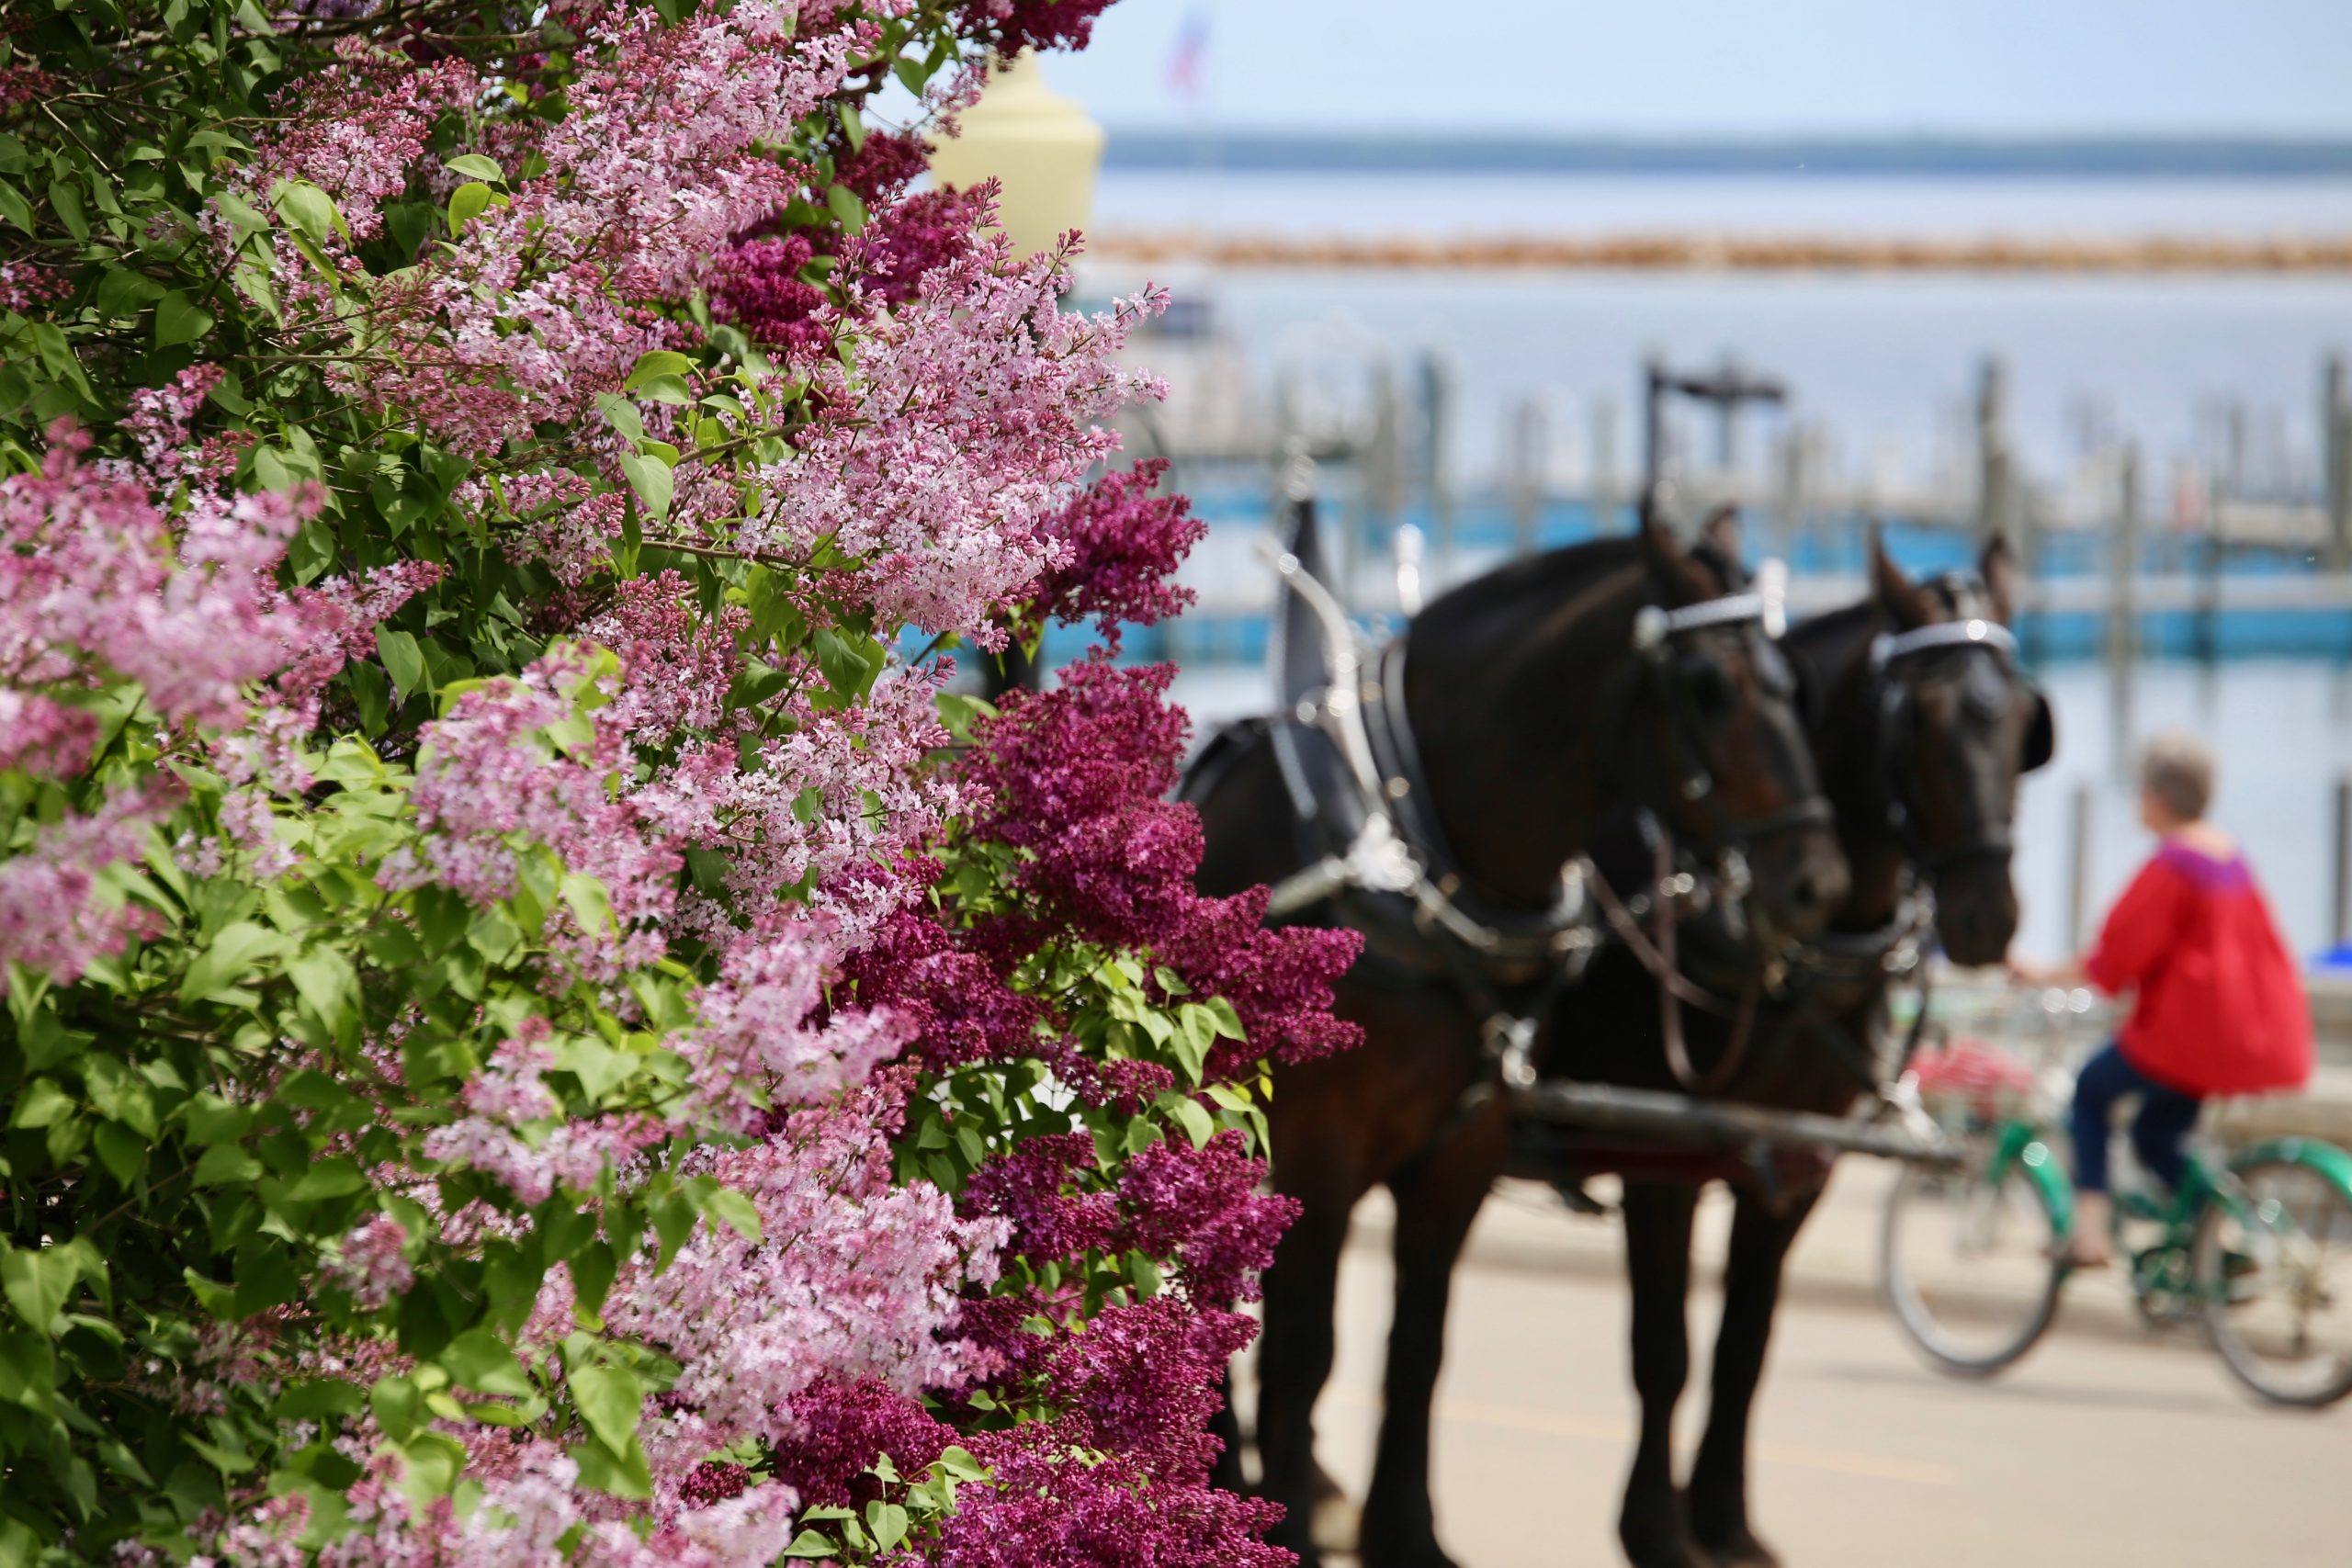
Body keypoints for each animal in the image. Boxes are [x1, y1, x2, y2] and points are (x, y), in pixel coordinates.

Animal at [1194, 517, 1853, 1568]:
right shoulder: (1317, 1147)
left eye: (1794, 682)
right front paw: (1289, 1525)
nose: (1816, 883)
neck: (1418, 862)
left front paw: (1407, 1535)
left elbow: (1419, 1345)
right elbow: (1304, 1347)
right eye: (1707, 685)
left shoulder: (1465, 1149)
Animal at [1533, 533, 2051, 1561]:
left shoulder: (1795, 1162)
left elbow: (1745, 1344)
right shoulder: (1660, 1154)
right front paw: (1654, 1528)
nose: (1987, 915)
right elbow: (1665, 1350)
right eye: (1920, 718)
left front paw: (1725, 1520)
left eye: (2022, 722)